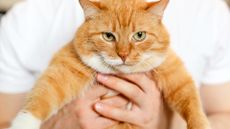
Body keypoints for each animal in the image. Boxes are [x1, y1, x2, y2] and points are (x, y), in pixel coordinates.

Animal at [8, 0, 210, 129]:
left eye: (139, 35)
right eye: (108, 36)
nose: (123, 55)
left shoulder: (174, 73)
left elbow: (191, 103)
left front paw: (200, 124)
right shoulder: (64, 72)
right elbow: (42, 97)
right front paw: (22, 124)